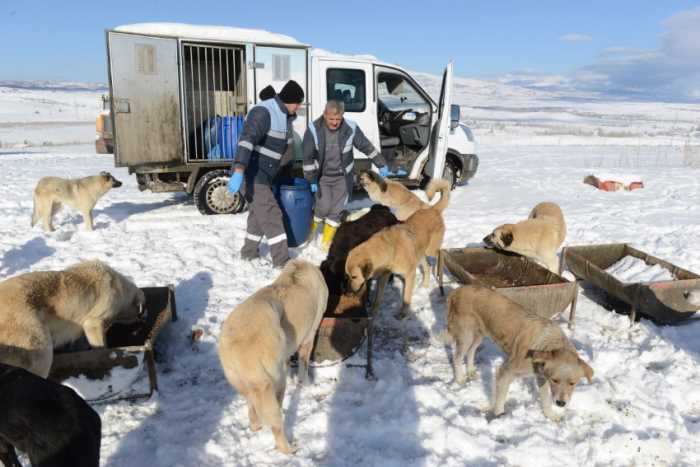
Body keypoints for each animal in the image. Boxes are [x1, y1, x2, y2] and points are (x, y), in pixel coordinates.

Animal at [219, 260, 328, 454]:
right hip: (274, 380)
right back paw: (288, 449)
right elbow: (304, 364)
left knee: (252, 406)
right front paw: (307, 384)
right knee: (276, 423)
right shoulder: (309, 337)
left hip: (243, 382)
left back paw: (255, 426)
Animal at [348, 181, 452, 316]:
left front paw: (403, 313)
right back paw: (425, 284)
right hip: (420, 253)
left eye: (354, 277)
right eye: (347, 275)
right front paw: (374, 312)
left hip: (430, 250)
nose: (349, 291)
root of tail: (432, 209)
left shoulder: (410, 274)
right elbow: (378, 298)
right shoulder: (384, 277)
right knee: (427, 266)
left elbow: (406, 297)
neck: (388, 248)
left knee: (441, 253)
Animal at [442, 284, 592, 422]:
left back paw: (470, 370)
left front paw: (550, 415)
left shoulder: (542, 377)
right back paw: (460, 378)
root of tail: (457, 290)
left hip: (479, 334)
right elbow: (500, 399)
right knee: (457, 356)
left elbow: (545, 399)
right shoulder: (505, 371)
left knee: (471, 351)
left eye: (572, 383)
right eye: (555, 380)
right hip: (466, 334)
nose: (561, 403)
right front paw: (499, 416)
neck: (546, 344)